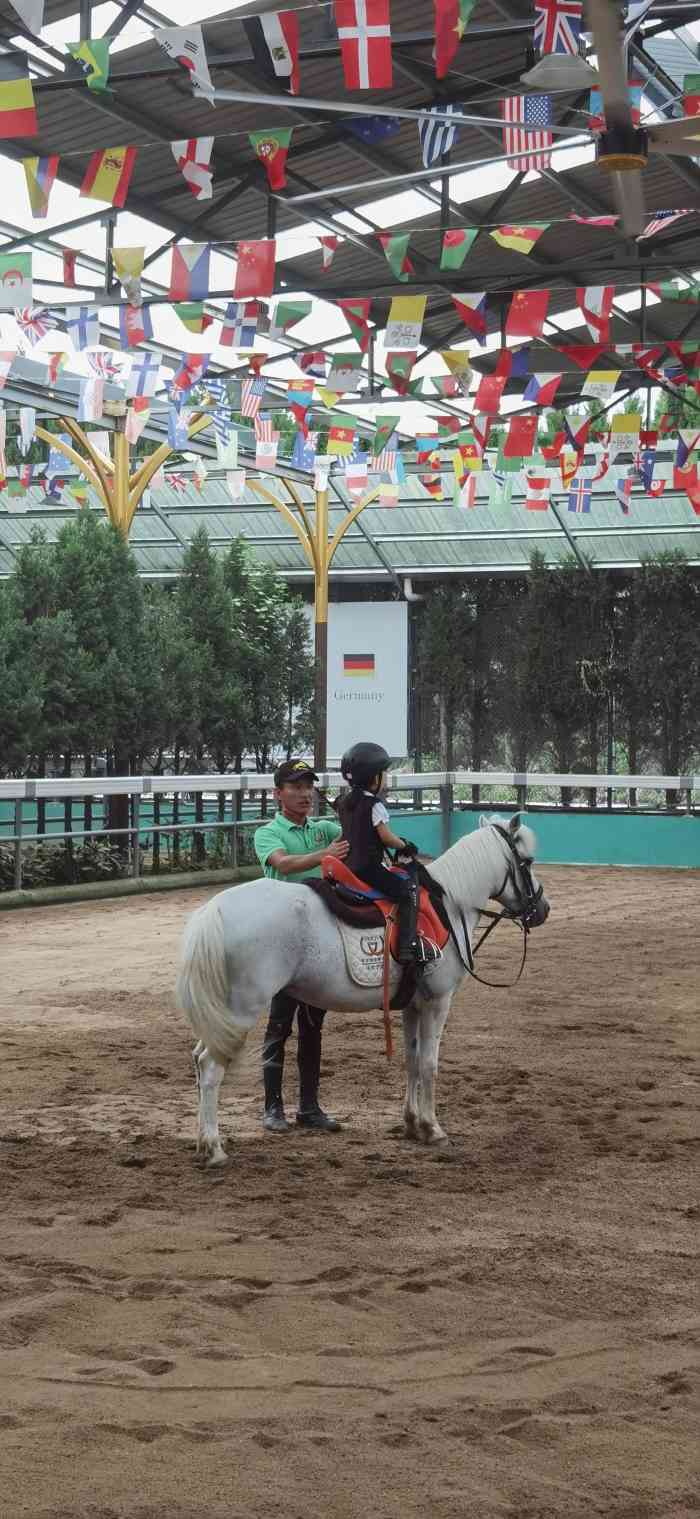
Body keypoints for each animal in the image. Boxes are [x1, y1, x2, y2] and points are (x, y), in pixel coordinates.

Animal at [174, 820, 546, 1160]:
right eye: (527, 861)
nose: (543, 909)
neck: (450, 903)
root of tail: (214, 909)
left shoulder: (413, 1005)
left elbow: (412, 1060)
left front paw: (412, 1124)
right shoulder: (438, 1001)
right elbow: (429, 1063)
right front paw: (433, 1128)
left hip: (223, 1015)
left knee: (199, 1060)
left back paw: (202, 1140)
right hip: (241, 1010)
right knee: (210, 1067)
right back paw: (214, 1148)